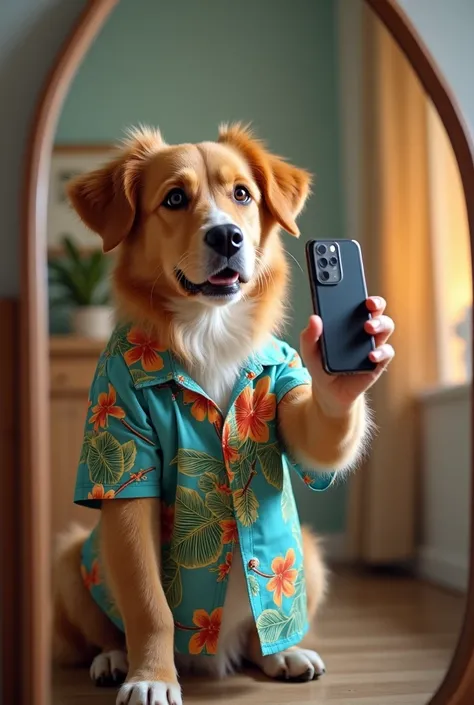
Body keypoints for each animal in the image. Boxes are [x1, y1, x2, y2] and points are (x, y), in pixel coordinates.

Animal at [52, 125, 378, 704]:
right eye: (174, 199)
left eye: (242, 194)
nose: (227, 237)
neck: (208, 329)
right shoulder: (122, 462)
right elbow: (149, 606)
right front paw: (151, 677)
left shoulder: (285, 378)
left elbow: (316, 438)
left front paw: (346, 365)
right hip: (70, 561)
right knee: (103, 626)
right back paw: (114, 658)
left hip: (310, 555)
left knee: (256, 637)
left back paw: (281, 653)